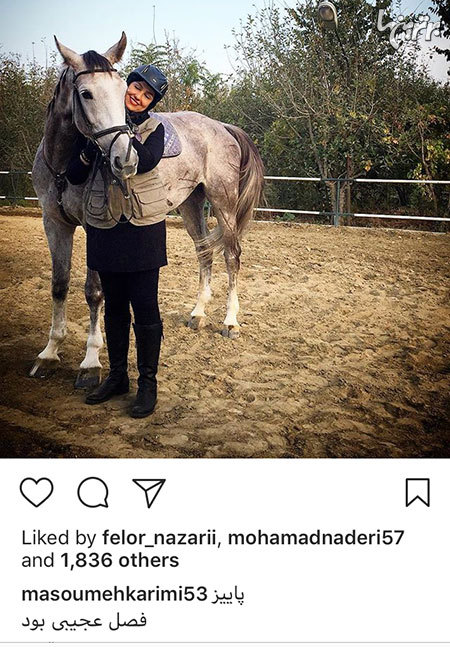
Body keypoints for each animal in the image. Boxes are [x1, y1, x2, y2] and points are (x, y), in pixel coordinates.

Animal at [30, 33, 264, 388]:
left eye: (120, 91)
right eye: (86, 93)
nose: (126, 159)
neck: (63, 166)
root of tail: (221, 127)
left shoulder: (97, 227)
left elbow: (94, 292)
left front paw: (90, 362)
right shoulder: (53, 223)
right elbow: (59, 285)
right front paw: (49, 353)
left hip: (223, 202)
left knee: (231, 256)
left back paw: (230, 321)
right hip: (191, 203)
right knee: (204, 252)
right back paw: (198, 314)